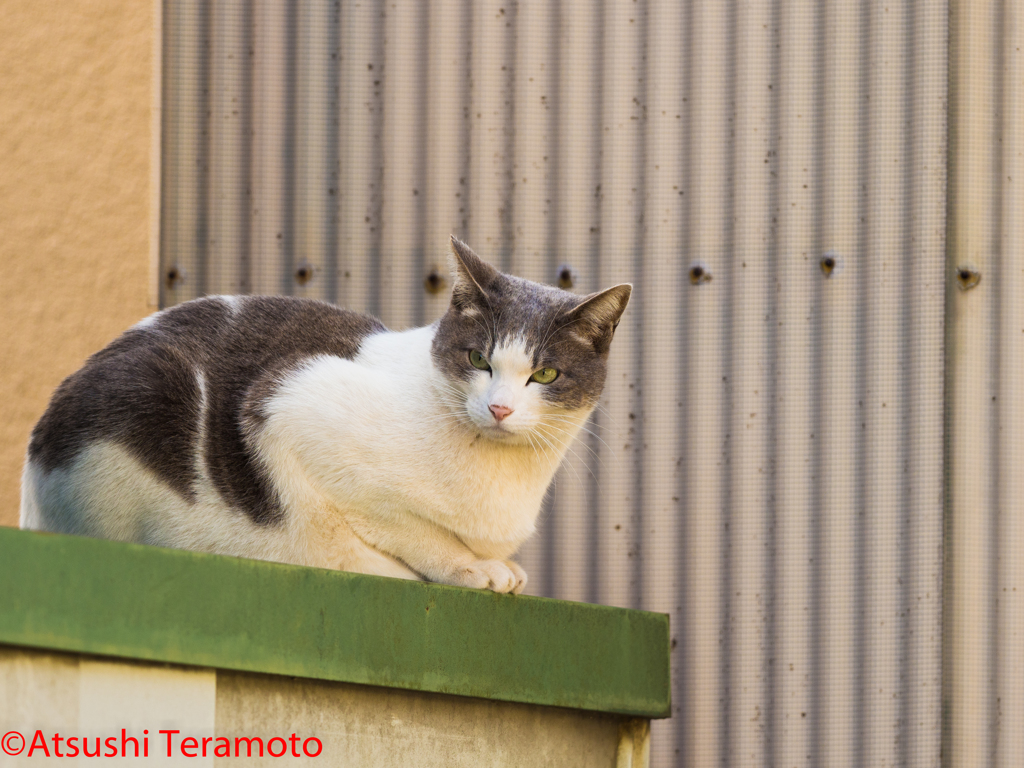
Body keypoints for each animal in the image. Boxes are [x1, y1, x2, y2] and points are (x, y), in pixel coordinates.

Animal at [19, 237, 630, 598]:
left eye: (544, 375)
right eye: (479, 360)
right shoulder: (288, 404)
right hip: (144, 392)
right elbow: (403, 526)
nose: (499, 407)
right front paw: (468, 567)